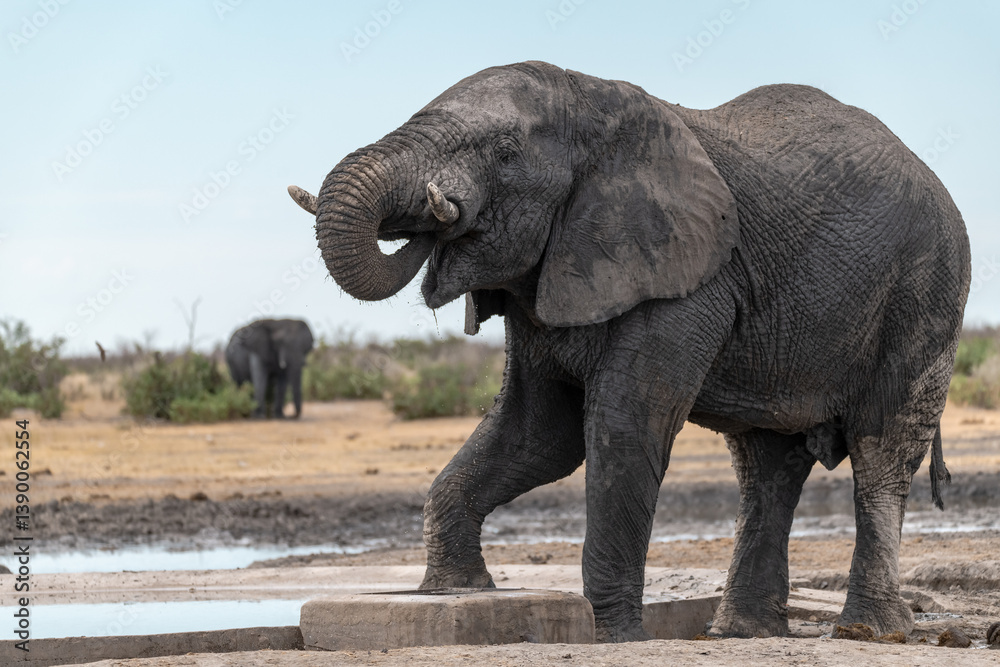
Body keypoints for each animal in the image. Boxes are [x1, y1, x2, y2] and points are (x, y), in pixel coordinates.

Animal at [287, 61, 970, 641]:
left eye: (504, 152)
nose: (440, 214)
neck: (592, 106)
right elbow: (539, 433)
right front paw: (455, 593)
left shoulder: (686, 279)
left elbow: (621, 426)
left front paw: (614, 634)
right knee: (766, 466)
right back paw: (741, 633)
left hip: (925, 291)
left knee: (880, 452)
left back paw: (867, 632)